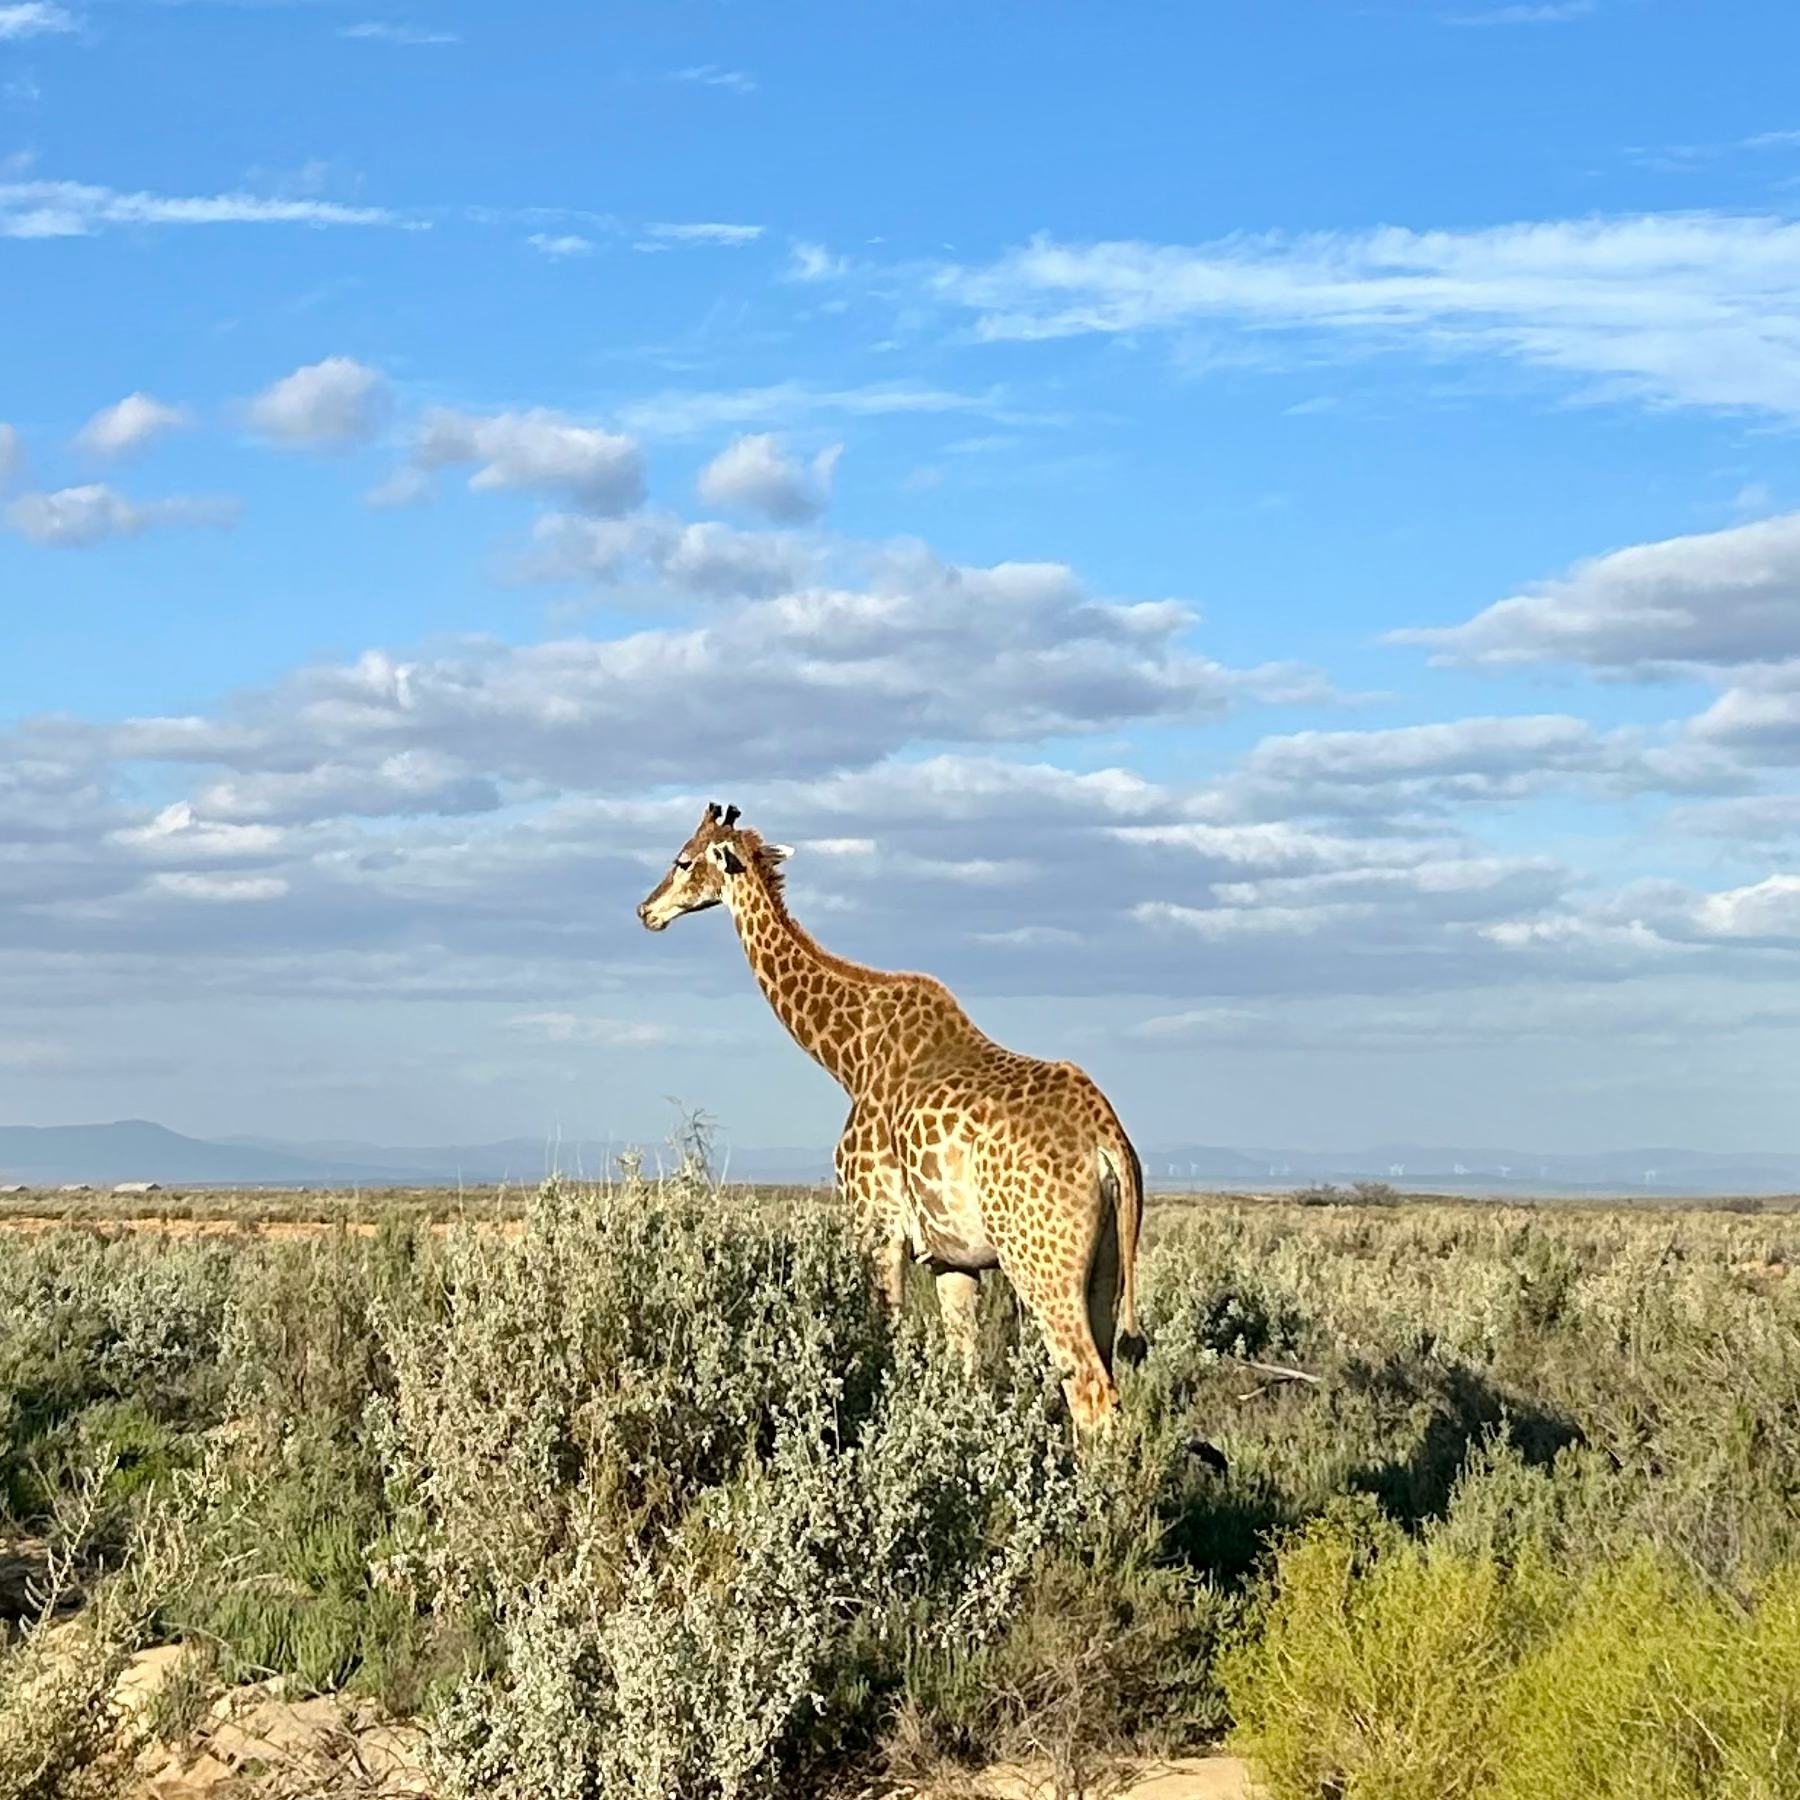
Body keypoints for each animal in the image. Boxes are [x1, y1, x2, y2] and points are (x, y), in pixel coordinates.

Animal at [637, 801, 1148, 1435]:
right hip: (1105, 1265)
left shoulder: (876, 1224)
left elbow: (887, 1340)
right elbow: (966, 1367)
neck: (849, 1055)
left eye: (683, 860)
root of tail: (1109, 1144)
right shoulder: (953, 1257)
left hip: (1039, 1262)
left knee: (1090, 1390)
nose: (646, 911)